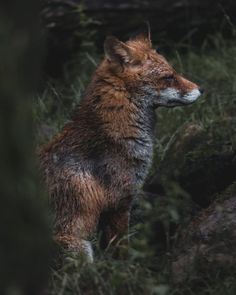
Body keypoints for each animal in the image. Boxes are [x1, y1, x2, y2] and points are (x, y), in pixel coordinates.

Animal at [39, 33, 203, 262]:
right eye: (168, 77)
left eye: (174, 72)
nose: (201, 89)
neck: (111, 134)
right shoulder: (119, 203)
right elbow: (121, 250)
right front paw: (128, 267)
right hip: (78, 247)